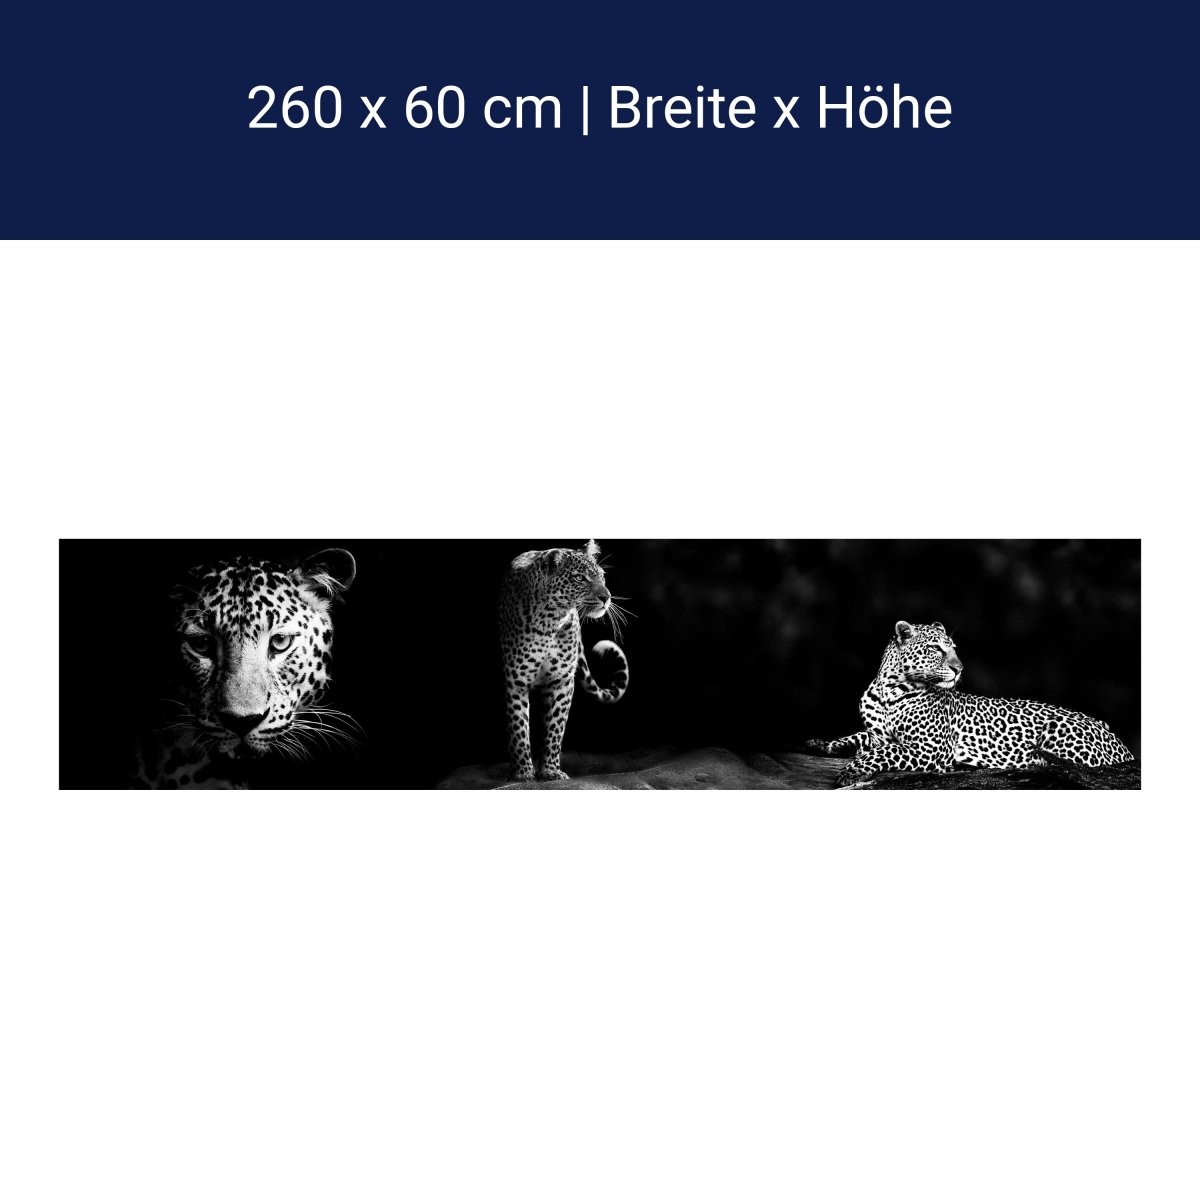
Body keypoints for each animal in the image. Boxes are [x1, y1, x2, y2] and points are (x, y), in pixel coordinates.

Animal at [498, 539, 630, 782]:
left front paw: (550, 770)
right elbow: (518, 726)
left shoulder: (561, 681)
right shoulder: (516, 680)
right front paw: (522, 773)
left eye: (602, 576)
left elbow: (555, 727)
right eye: (580, 578)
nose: (606, 597)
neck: (550, 620)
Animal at [807, 620, 1134, 785]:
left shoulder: (929, 747)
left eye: (954, 649)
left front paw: (853, 771)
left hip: (1061, 733)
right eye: (935, 648)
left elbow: (884, 753)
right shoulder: (877, 735)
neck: (890, 691)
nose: (959, 668)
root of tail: (1120, 743)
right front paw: (821, 743)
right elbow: (857, 738)